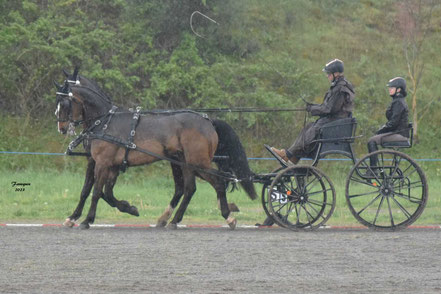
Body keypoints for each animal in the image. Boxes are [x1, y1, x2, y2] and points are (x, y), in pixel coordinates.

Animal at [55, 71, 256, 230]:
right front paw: (74, 217)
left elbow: (97, 191)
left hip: (197, 162)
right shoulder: (97, 162)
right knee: (189, 188)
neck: (105, 121)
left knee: (218, 182)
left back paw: (228, 217)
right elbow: (91, 191)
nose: (61, 128)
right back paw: (173, 220)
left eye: (64, 103)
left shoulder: (104, 163)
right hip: (185, 163)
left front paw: (87, 220)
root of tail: (208, 121)